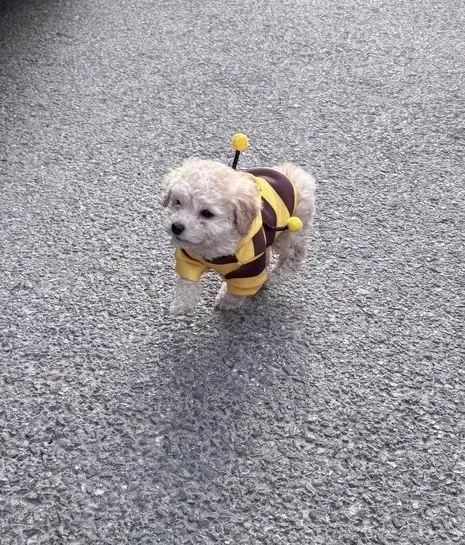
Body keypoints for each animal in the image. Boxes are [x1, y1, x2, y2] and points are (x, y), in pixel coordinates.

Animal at [162, 158, 316, 314]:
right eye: (177, 202)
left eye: (207, 213)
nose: (176, 227)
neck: (213, 246)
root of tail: (292, 172)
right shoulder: (189, 257)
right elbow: (187, 280)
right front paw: (181, 303)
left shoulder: (250, 268)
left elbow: (238, 291)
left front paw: (226, 301)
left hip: (291, 230)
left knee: (294, 254)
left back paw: (275, 276)